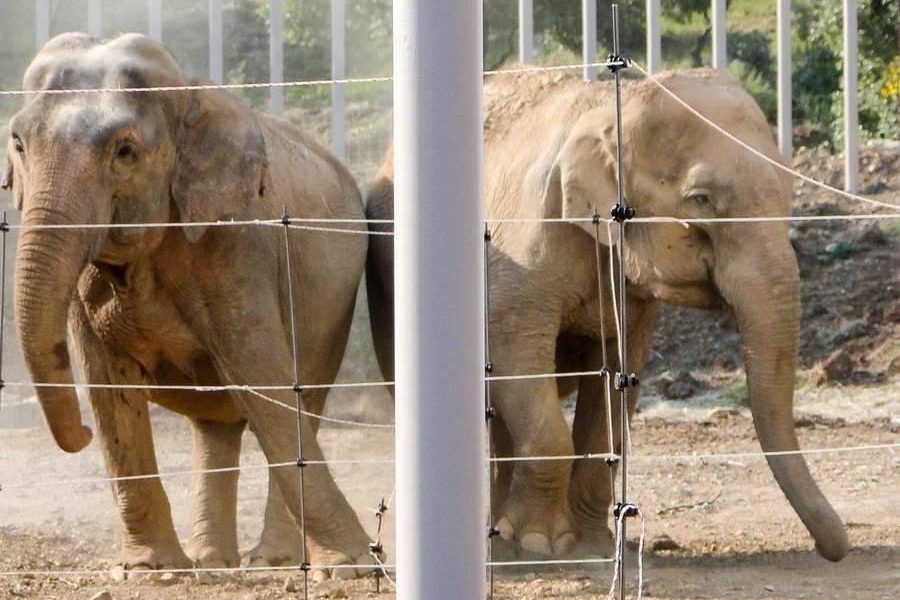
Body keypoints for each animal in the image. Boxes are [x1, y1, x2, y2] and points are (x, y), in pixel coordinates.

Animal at [1, 32, 374, 576]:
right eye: (19, 144)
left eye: (126, 151)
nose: (81, 435)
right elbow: (109, 387)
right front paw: (151, 571)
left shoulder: (238, 246)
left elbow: (264, 380)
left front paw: (351, 566)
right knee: (214, 425)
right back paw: (212, 561)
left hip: (336, 304)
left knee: (303, 397)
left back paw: (269, 562)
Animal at [362, 69, 848, 564]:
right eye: (700, 199)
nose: (832, 551)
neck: (614, 106)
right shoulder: (523, 255)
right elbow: (514, 357)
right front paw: (541, 544)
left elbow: (616, 383)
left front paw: (592, 543)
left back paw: (499, 534)